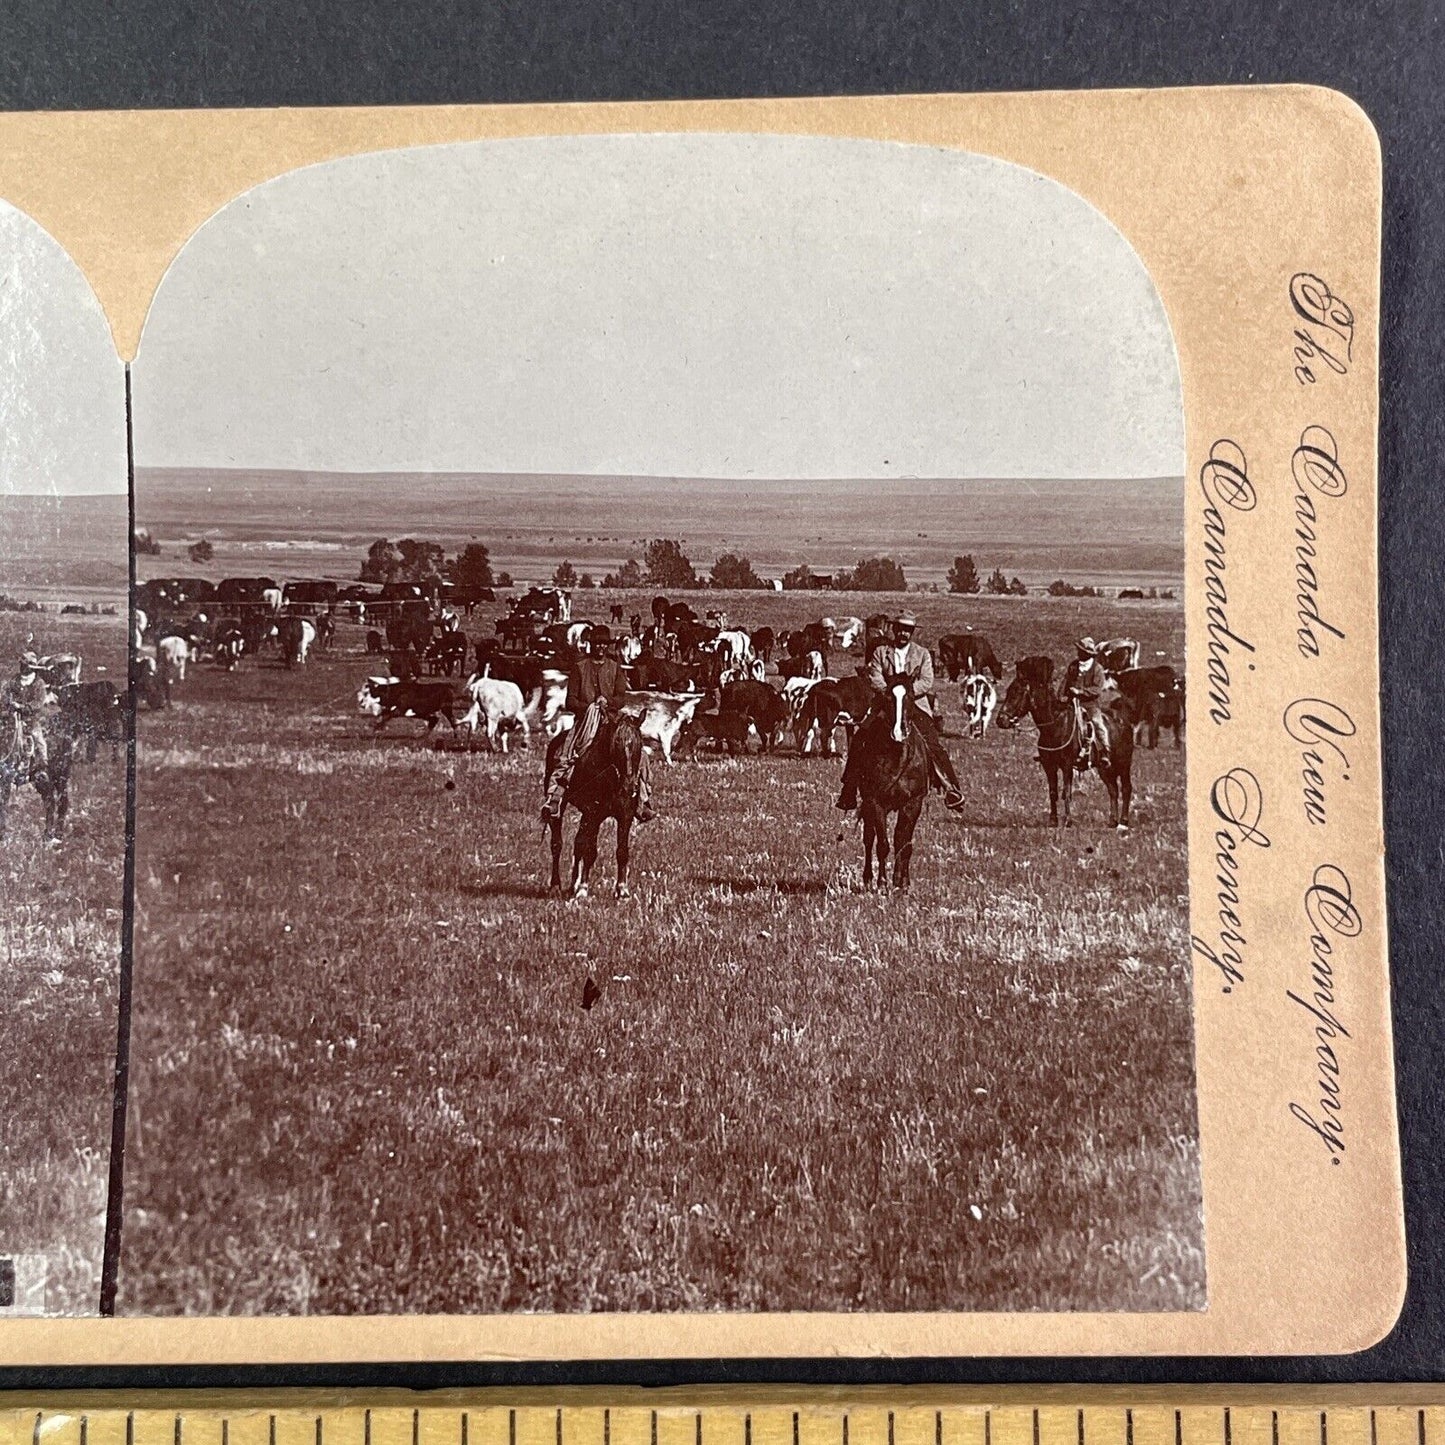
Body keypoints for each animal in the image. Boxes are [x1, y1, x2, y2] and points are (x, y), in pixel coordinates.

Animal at [543, 716, 647, 895]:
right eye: (617, 743)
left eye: (639, 744)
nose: (629, 786)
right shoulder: (593, 814)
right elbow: (590, 851)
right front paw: (583, 888)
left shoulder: (625, 815)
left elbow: (622, 851)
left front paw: (622, 889)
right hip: (561, 808)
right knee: (557, 844)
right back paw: (556, 886)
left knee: (578, 843)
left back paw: (573, 884)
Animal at [843, 676, 924, 890]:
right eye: (888, 698)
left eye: (911, 696)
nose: (899, 731)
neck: (897, 757)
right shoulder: (876, 803)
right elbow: (882, 845)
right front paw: (882, 883)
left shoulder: (913, 804)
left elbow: (904, 844)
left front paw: (902, 882)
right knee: (869, 839)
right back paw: (868, 879)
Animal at [999, 661, 1132, 832]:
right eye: (1009, 691)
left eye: (1017, 692)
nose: (1000, 720)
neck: (1055, 725)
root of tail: (1125, 722)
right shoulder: (1049, 766)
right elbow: (1053, 792)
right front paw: (1053, 821)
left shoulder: (1067, 765)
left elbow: (1066, 792)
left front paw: (1068, 821)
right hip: (1105, 768)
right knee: (1113, 790)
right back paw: (1112, 821)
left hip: (1123, 765)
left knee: (1126, 789)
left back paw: (1123, 822)